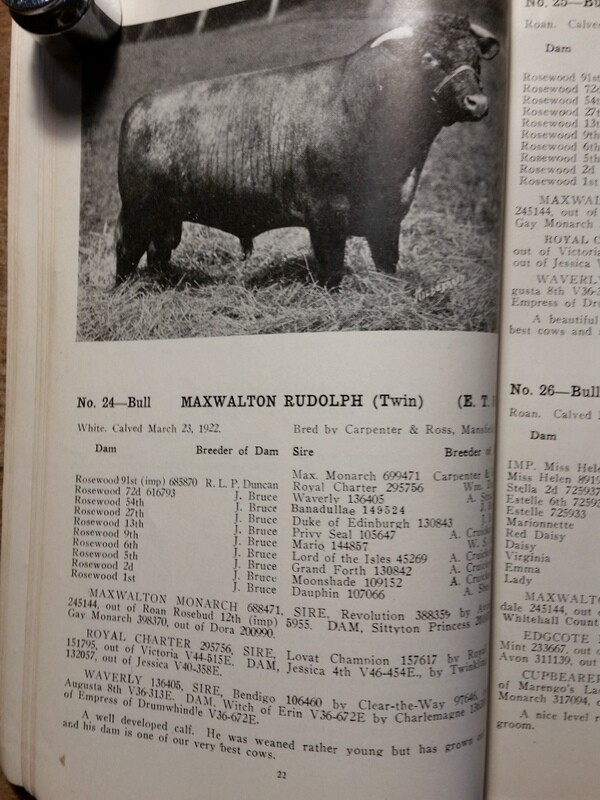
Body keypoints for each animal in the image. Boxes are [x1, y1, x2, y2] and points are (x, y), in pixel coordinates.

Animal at [115, 14, 500, 288]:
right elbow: (332, 270)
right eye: (428, 58)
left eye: (475, 59)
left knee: (159, 251)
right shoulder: (326, 213)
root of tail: (139, 107)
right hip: (137, 208)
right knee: (126, 248)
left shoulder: (389, 215)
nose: (477, 102)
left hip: (167, 215)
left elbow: (387, 262)